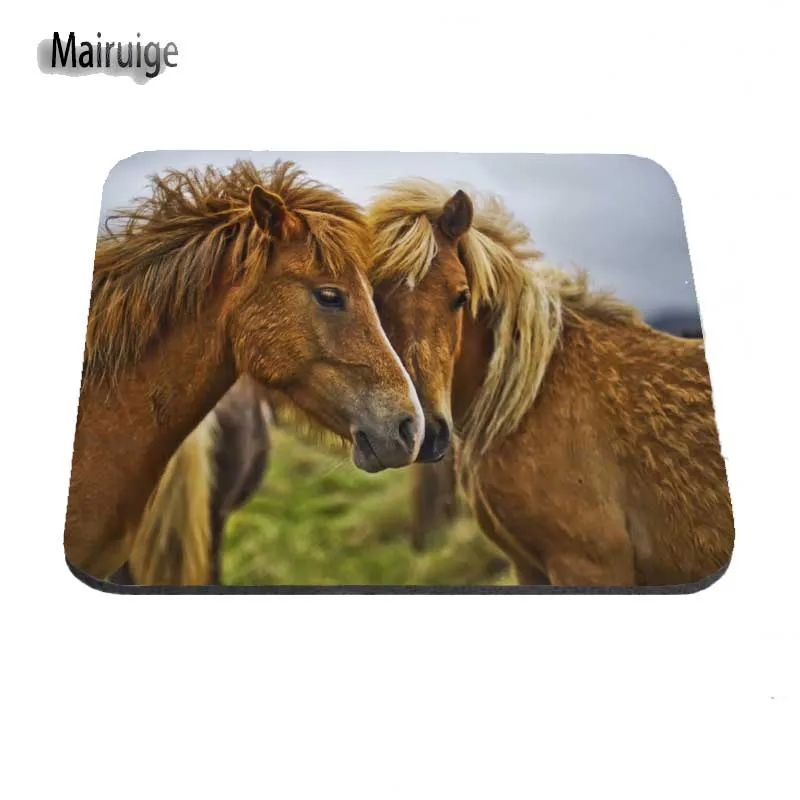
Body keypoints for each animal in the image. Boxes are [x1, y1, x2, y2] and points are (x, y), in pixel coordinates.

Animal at [367, 180, 735, 587]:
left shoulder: (587, 565)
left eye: (461, 296)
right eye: (372, 299)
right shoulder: (528, 567)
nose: (425, 434)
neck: (529, 400)